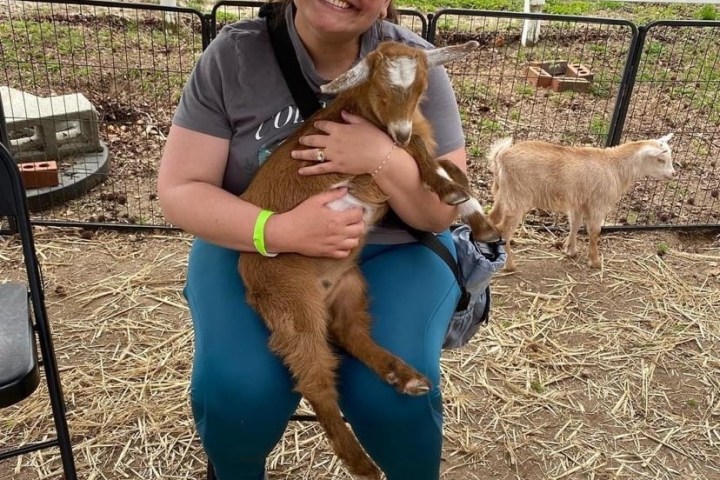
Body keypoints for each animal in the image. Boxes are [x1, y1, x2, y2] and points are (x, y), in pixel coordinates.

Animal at [486, 134, 675, 271]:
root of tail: (501, 157)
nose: (673, 174)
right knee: (503, 230)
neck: (614, 167)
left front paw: (570, 250)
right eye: (660, 160)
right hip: (517, 198)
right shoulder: (598, 203)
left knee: (491, 219)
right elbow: (594, 231)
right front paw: (595, 261)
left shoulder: (578, 203)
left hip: (502, 195)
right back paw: (509, 265)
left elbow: (575, 224)